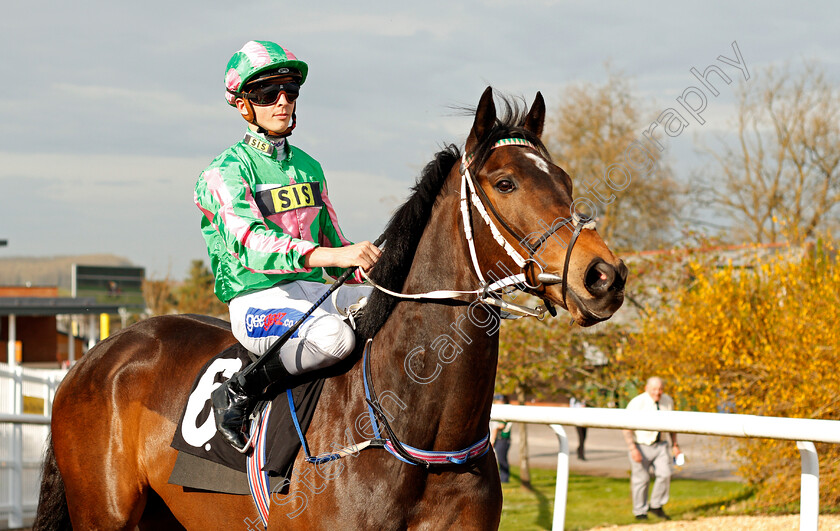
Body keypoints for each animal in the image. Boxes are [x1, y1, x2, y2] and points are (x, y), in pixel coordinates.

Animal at [34, 89, 624, 528]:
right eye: (505, 182)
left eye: (565, 181)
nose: (604, 275)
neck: (416, 433)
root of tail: (96, 356)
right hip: (105, 513)